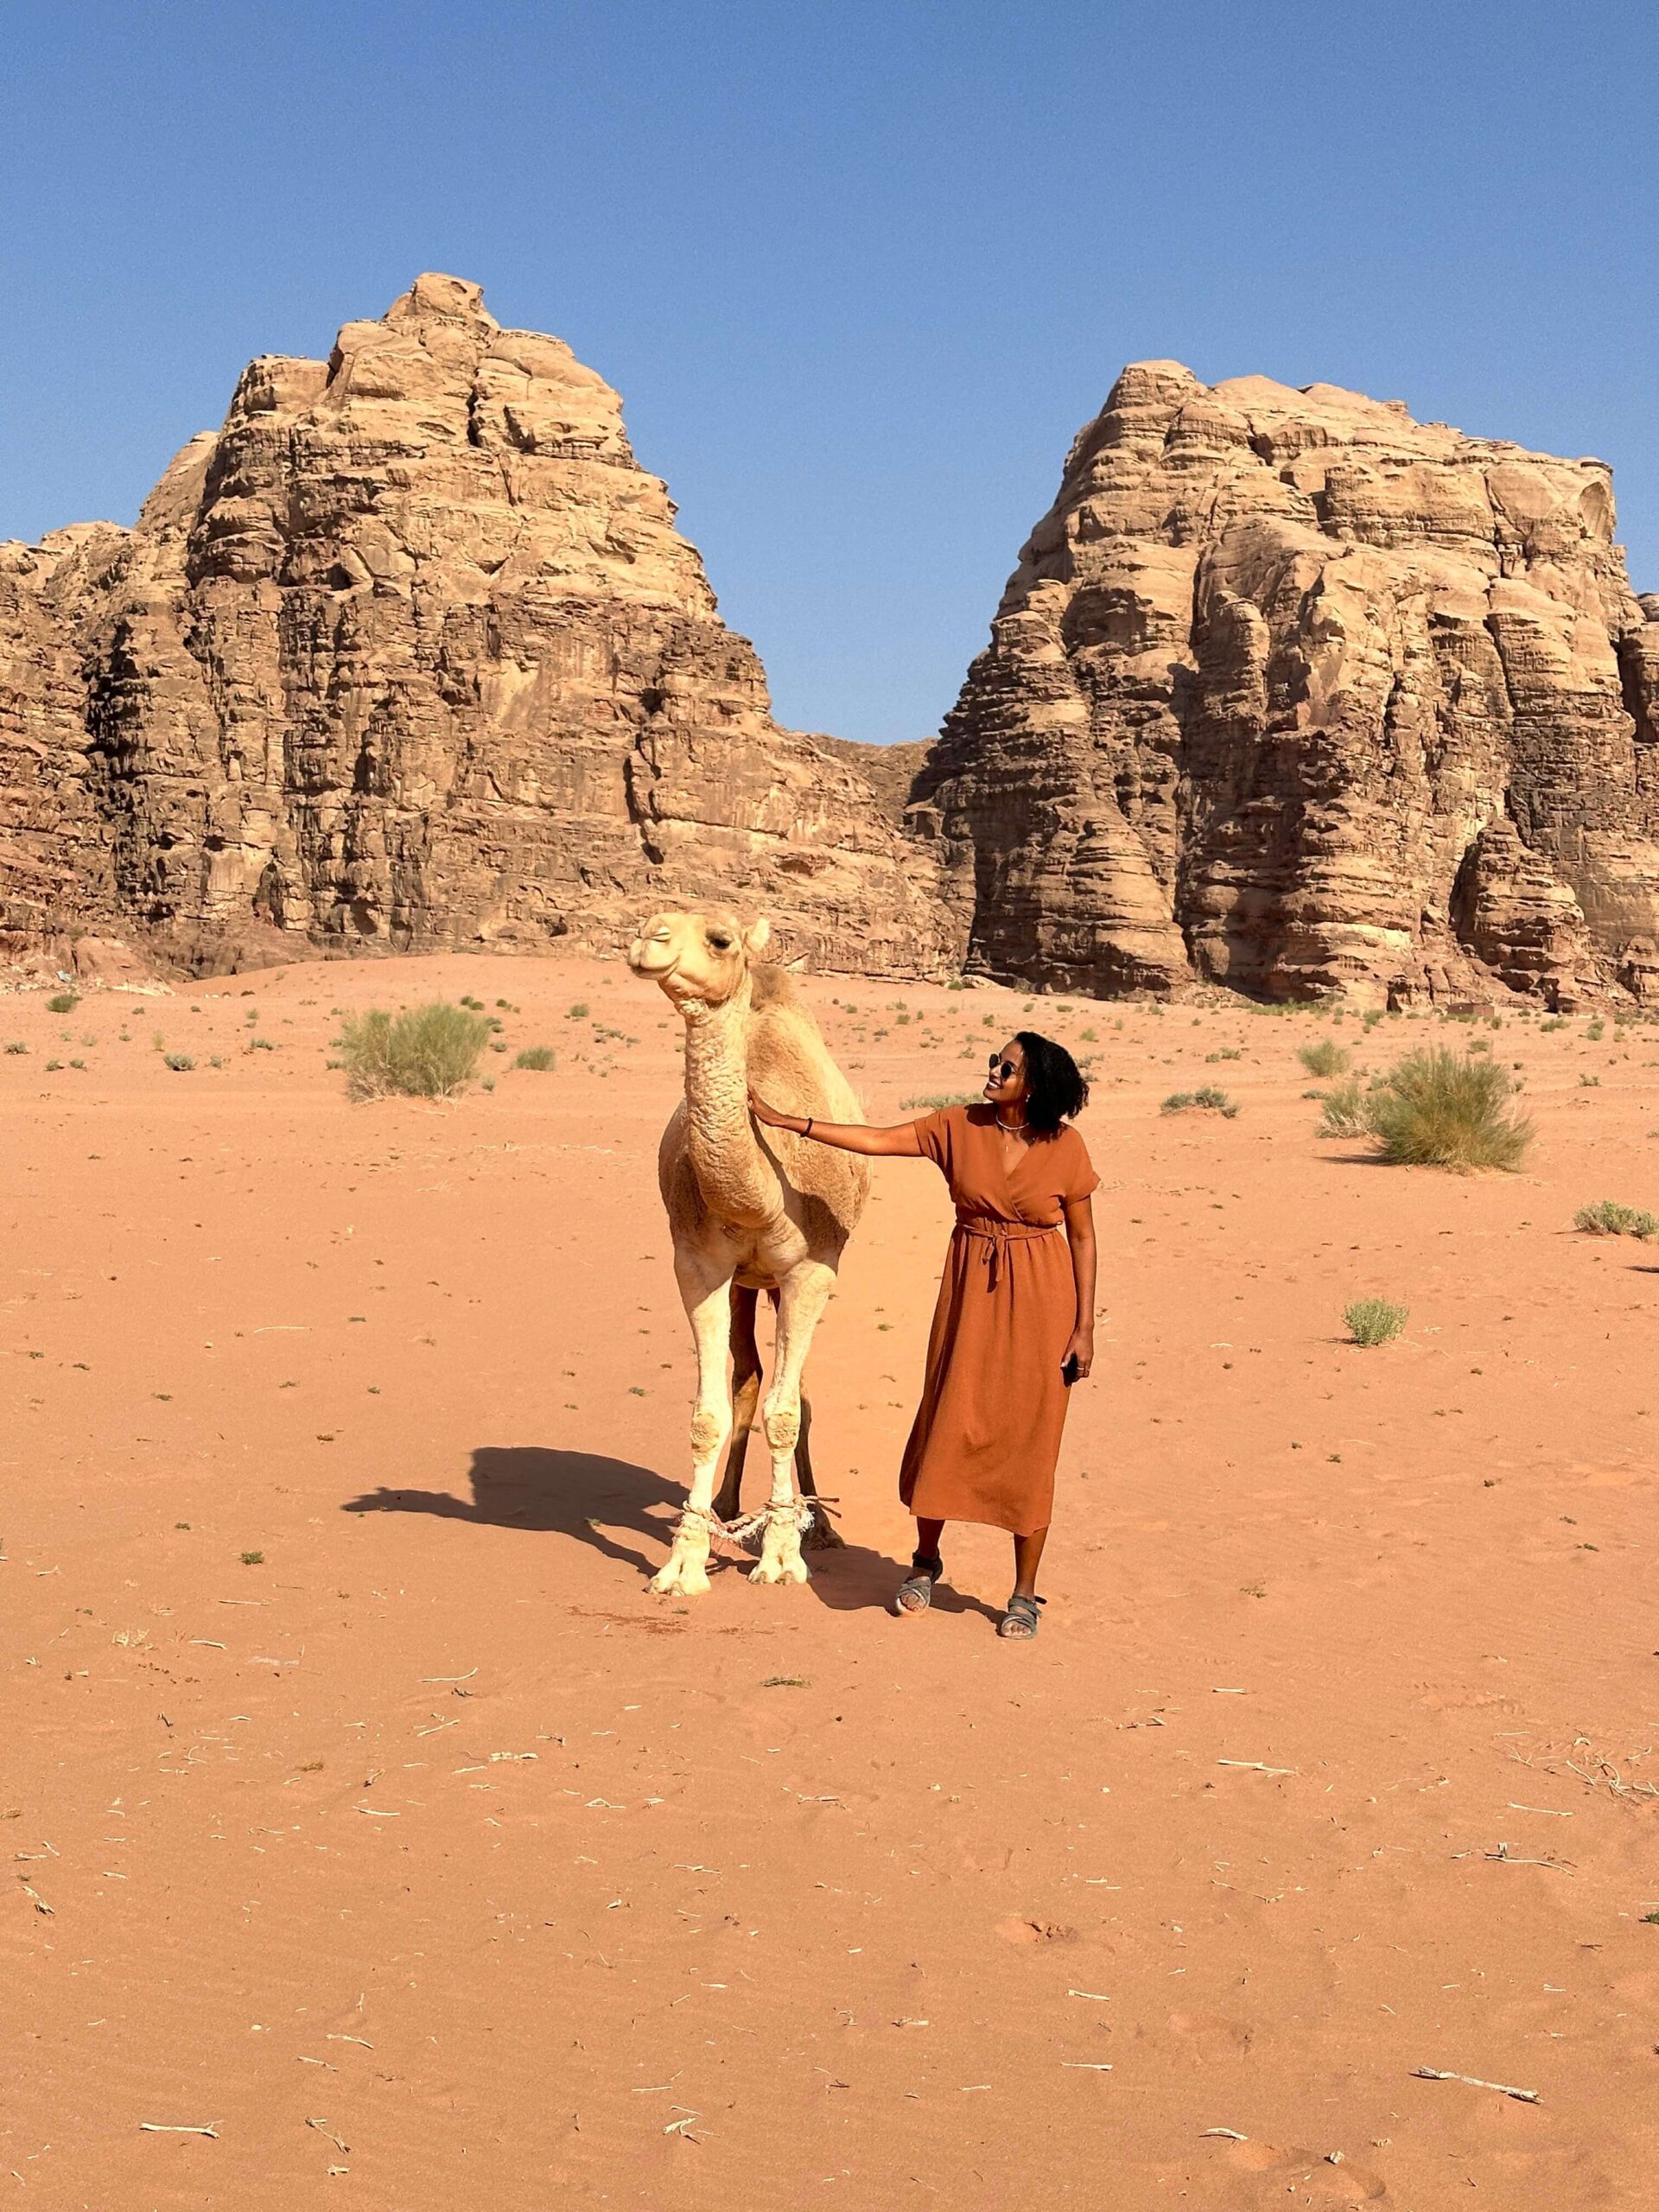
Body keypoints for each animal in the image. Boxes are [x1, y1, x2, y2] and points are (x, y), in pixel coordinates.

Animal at [627, 907, 868, 1594]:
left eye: (720, 939)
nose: (649, 936)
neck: (762, 1188)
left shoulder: (813, 1270)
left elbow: (787, 1414)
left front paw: (784, 1554)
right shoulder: (698, 1264)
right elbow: (707, 1415)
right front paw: (683, 1562)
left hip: (793, 1282)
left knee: (796, 1391)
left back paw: (818, 1524)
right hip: (744, 1283)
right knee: (748, 1377)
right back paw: (727, 1509)